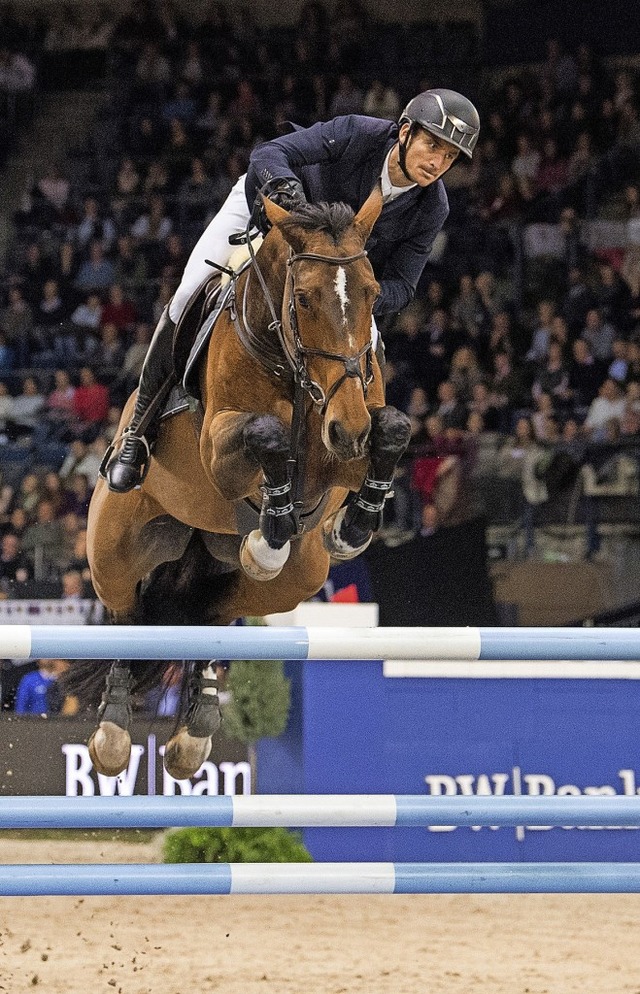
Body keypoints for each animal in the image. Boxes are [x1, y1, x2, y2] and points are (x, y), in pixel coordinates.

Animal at [81, 188, 410, 784]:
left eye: (372, 295)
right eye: (302, 299)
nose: (349, 431)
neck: (290, 366)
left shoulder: (342, 447)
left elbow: (393, 427)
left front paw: (349, 526)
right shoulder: (220, 451)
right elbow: (266, 432)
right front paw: (275, 520)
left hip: (295, 579)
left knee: (213, 612)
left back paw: (198, 726)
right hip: (116, 544)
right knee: (124, 613)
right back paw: (114, 731)